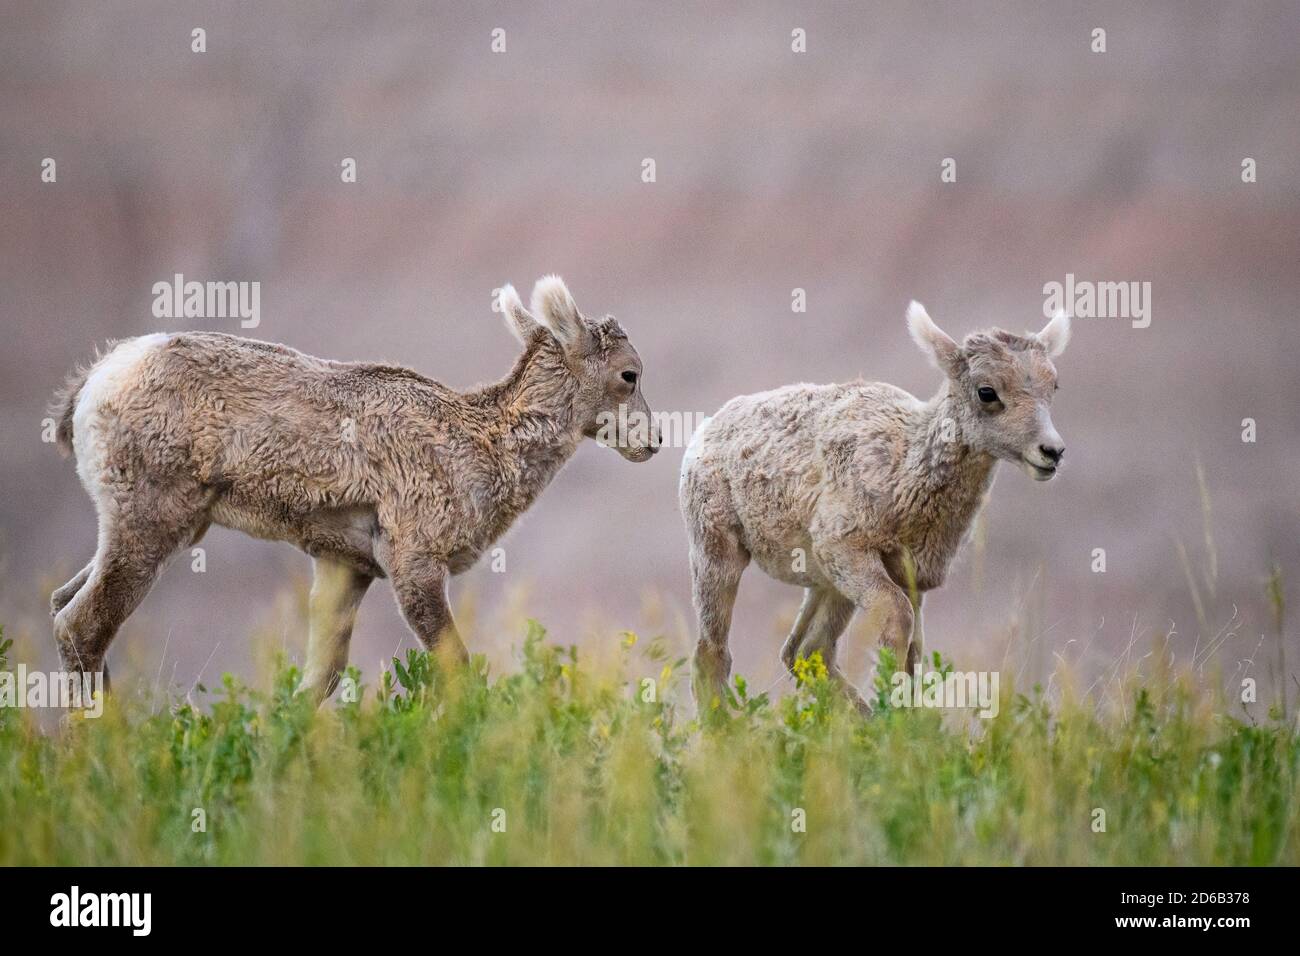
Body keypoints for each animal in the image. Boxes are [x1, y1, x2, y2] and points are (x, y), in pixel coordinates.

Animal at [50, 277, 660, 702]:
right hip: (149, 525)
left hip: (142, 529)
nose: (653, 441)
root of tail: (98, 379)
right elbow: (456, 669)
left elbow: (318, 682)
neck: (480, 441)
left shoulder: (346, 568)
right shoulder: (414, 565)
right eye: (629, 374)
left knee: (63, 606)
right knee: (82, 625)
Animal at [676, 303, 1071, 712]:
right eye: (987, 392)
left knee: (804, 652)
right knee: (712, 655)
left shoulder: (909, 578)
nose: (1051, 452)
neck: (904, 469)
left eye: (1053, 386)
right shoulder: (850, 553)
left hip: (825, 584)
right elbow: (898, 620)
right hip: (719, 555)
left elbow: (914, 652)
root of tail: (707, 430)